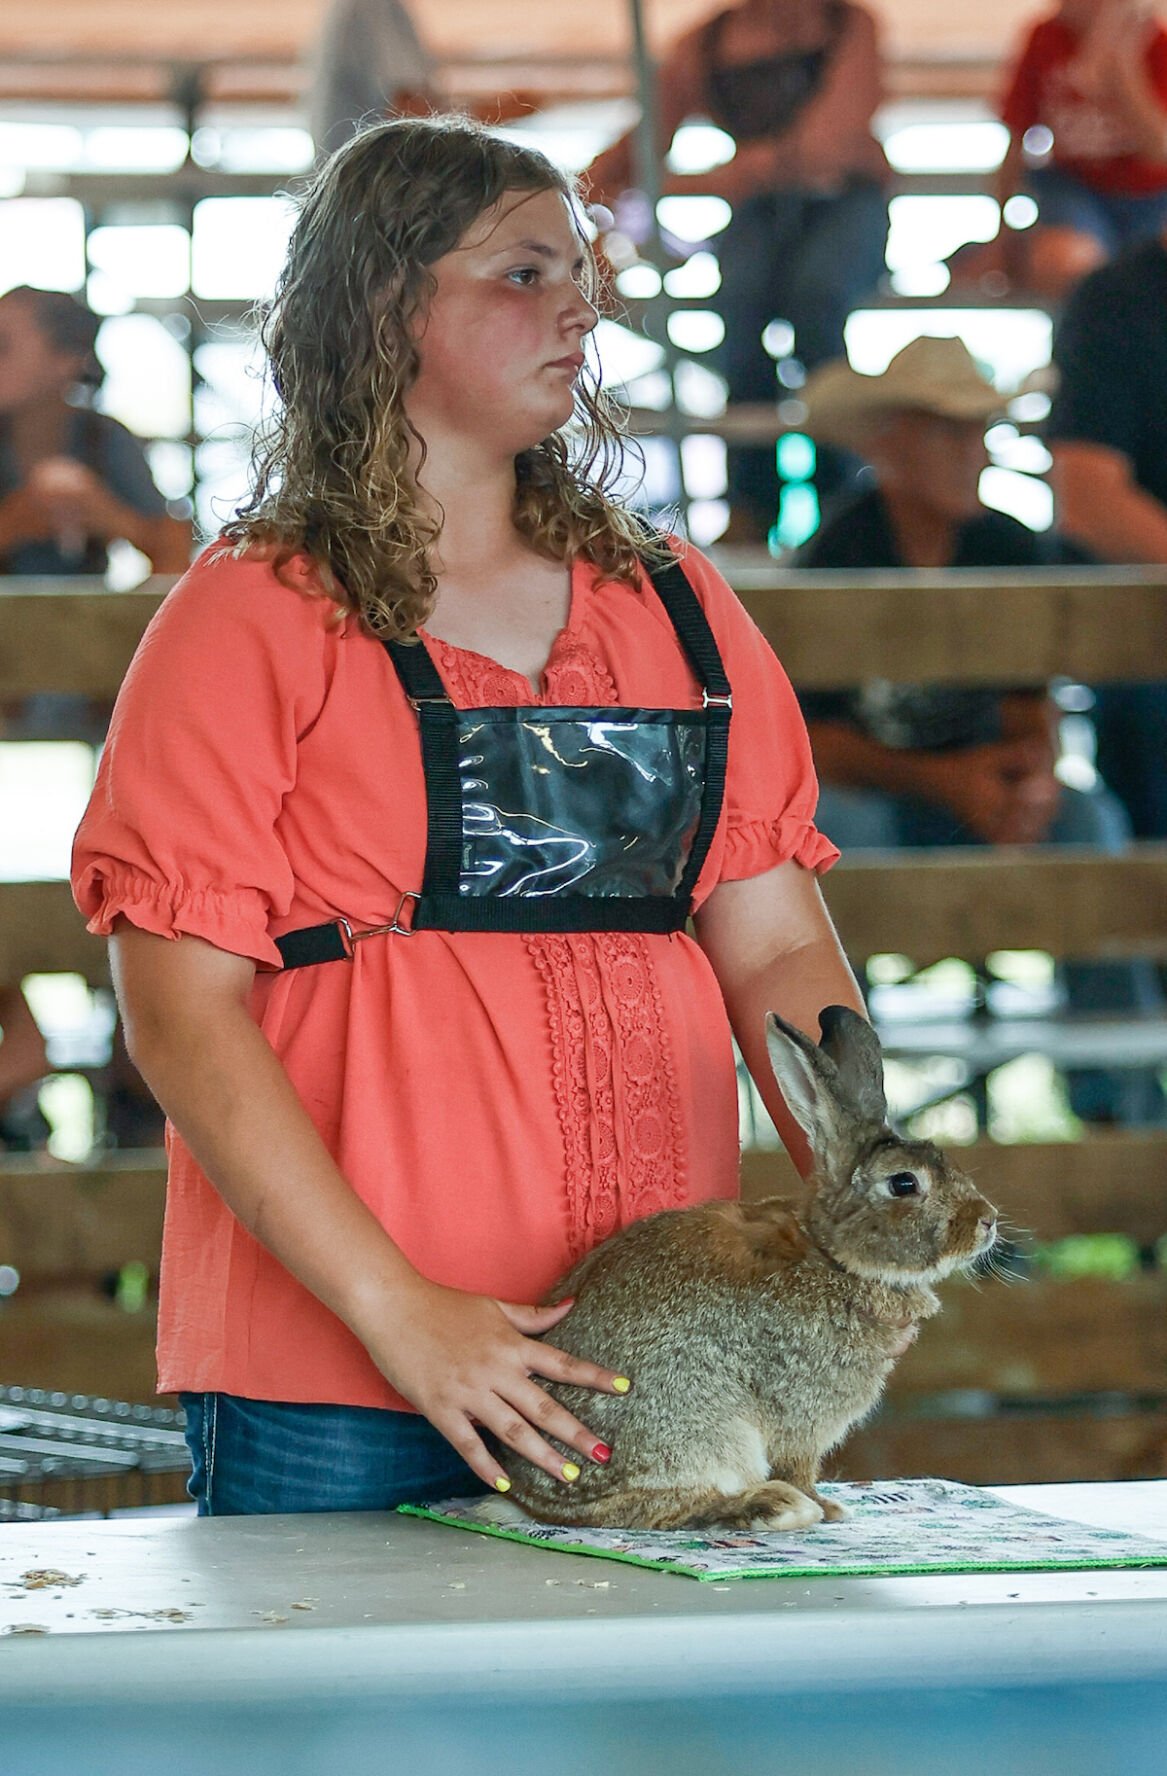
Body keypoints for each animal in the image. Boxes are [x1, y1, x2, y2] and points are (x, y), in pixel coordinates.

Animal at [497, 1008, 994, 1534]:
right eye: (904, 1183)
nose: (987, 1222)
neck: (832, 1256)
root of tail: (531, 1500)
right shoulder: (799, 1415)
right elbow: (798, 1465)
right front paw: (823, 1504)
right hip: (701, 1429)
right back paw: (772, 1505)